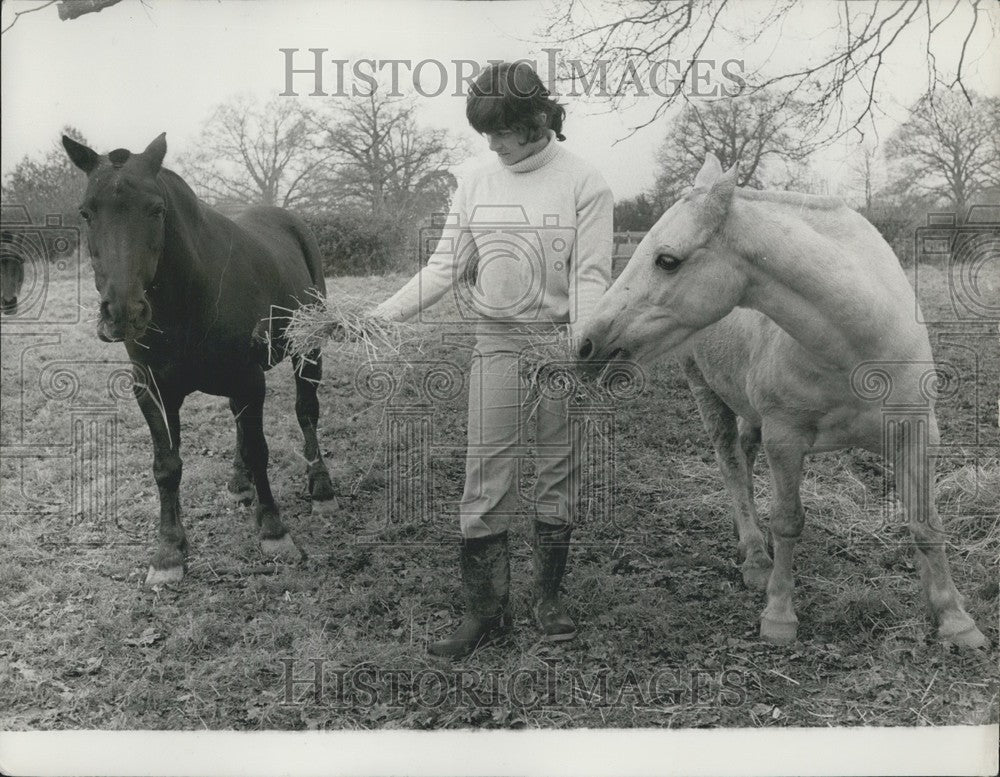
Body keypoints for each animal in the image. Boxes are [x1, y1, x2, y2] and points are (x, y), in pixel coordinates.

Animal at [67, 132, 340, 584]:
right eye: (87, 212)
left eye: (156, 210)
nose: (123, 313)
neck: (191, 295)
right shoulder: (153, 390)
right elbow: (167, 465)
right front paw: (169, 552)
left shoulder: (249, 378)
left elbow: (261, 448)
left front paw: (274, 531)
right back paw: (239, 482)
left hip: (308, 350)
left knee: (306, 412)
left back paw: (321, 488)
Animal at [580, 155, 984, 644]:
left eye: (667, 260)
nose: (585, 344)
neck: (858, 343)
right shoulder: (786, 438)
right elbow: (788, 522)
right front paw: (779, 613)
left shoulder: (916, 432)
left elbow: (926, 523)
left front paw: (953, 617)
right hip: (706, 393)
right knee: (732, 466)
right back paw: (755, 555)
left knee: (745, 455)